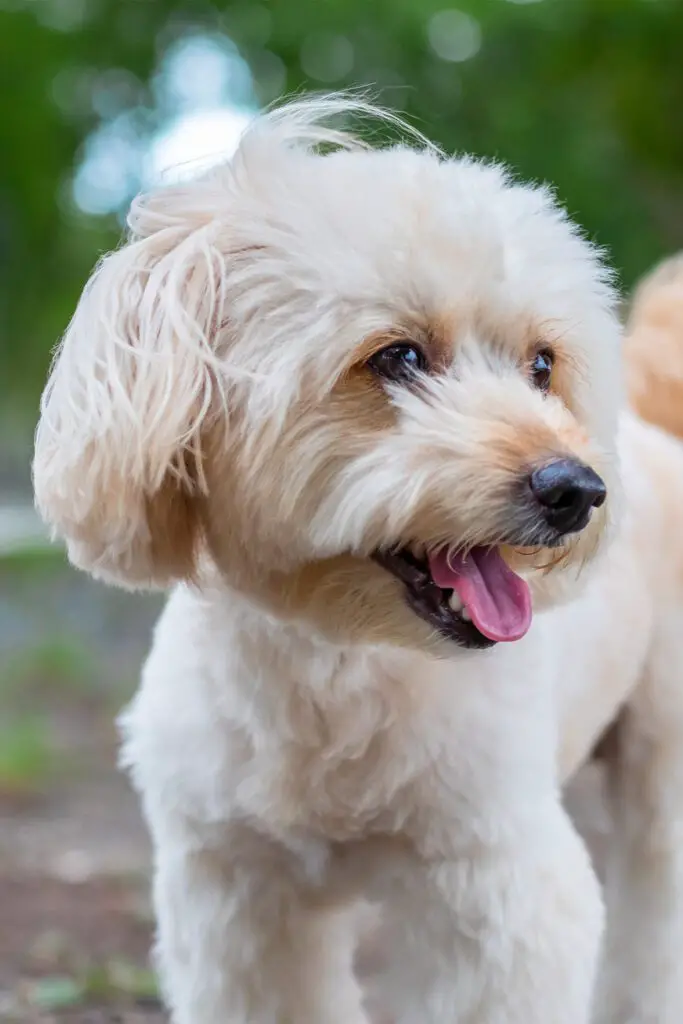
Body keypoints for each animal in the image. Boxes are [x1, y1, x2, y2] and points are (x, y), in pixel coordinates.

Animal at [31, 97, 683, 1024]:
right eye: (396, 357)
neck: (336, 661)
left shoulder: (496, 891)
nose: (576, 489)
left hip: (659, 769)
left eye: (541, 365)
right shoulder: (238, 895)